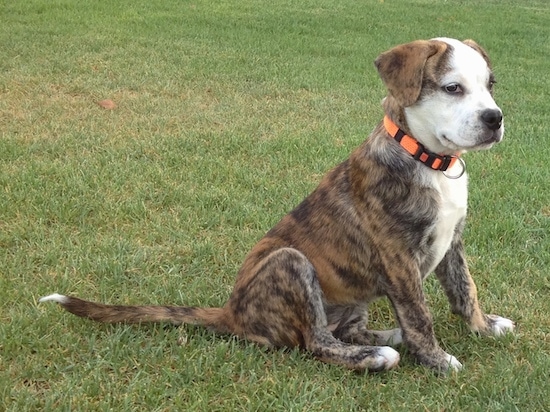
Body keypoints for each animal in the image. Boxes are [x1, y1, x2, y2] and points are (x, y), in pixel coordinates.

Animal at [42, 37, 516, 374]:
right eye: (452, 88)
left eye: (491, 86)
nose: (495, 118)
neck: (428, 160)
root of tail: (232, 312)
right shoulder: (399, 258)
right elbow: (420, 316)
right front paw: (437, 360)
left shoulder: (452, 241)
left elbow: (465, 290)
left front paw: (483, 327)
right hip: (291, 262)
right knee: (316, 342)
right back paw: (375, 355)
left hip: (350, 297)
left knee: (341, 330)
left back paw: (383, 337)